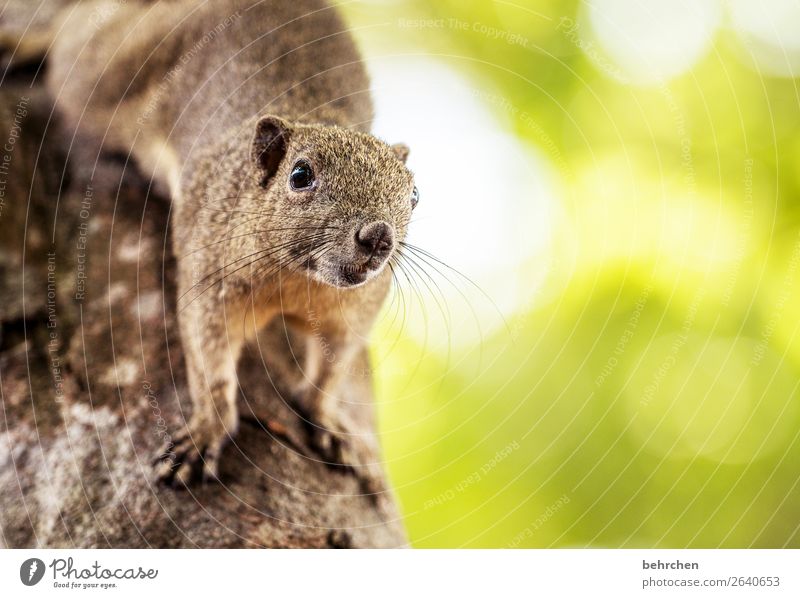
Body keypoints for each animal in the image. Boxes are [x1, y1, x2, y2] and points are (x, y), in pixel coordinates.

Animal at [39, 0, 418, 488]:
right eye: (300, 175)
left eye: (414, 195)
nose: (379, 236)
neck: (297, 279)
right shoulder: (208, 279)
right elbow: (210, 362)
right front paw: (206, 433)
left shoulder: (354, 313)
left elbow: (332, 371)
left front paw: (329, 420)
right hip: (104, 75)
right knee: (69, 47)